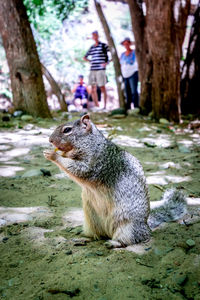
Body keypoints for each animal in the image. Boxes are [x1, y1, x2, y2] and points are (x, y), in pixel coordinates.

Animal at [43, 113, 188, 247]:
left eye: (67, 130)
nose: (50, 140)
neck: (91, 142)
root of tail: (147, 226)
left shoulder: (95, 163)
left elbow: (78, 170)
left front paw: (53, 154)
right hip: (91, 222)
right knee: (97, 236)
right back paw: (82, 237)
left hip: (127, 227)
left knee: (130, 240)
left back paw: (114, 243)